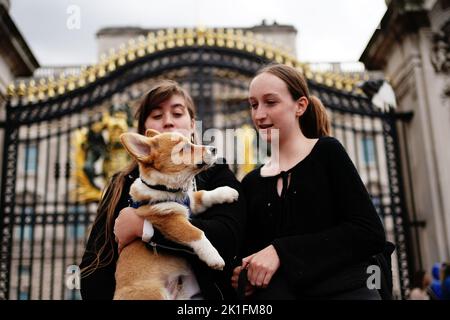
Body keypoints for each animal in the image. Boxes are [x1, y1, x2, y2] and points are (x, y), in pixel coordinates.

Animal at [113, 129, 239, 298]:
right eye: (184, 148)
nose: (214, 149)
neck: (165, 188)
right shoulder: (170, 218)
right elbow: (197, 233)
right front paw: (214, 257)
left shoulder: (191, 202)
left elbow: (204, 195)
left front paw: (228, 192)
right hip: (156, 293)